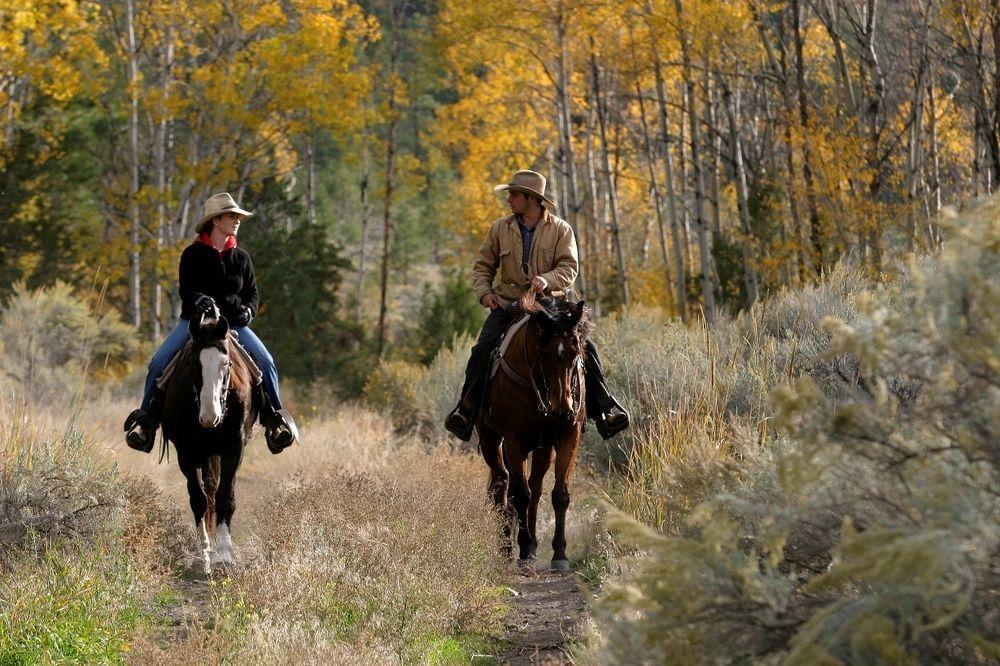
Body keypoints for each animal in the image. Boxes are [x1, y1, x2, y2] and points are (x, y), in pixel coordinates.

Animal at [160, 308, 258, 568]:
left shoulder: (234, 449)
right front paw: (204, 553)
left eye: (226, 363)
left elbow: (225, 498)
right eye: (195, 362)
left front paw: (224, 554)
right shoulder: (186, 452)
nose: (209, 416)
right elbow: (199, 500)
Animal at [476, 292, 592, 572]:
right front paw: (524, 547)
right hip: (492, 442)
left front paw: (559, 553)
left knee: (535, 487)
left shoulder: (568, 437)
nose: (563, 409)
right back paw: (508, 547)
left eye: (576, 350)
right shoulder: (514, 441)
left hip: (542, 448)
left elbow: (559, 494)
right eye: (543, 352)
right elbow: (520, 496)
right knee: (503, 485)